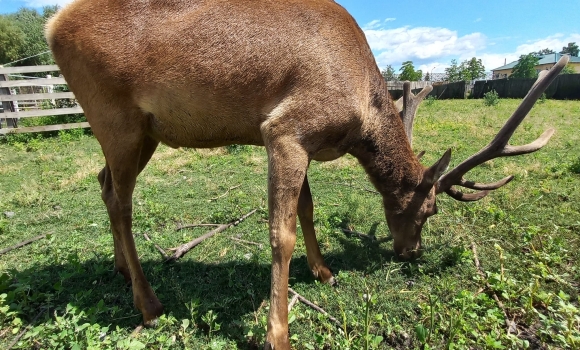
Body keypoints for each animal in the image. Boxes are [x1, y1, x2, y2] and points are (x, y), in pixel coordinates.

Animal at [46, 1, 572, 348]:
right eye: (430, 209)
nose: (411, 252)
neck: (359, 114)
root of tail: (53, 24)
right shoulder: (285, 129)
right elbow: (281, 234)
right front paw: (278, 332)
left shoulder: (306, 140)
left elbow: (308, 207)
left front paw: (324, 271)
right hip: (116, 119)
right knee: (121, 200)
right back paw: (148, 302)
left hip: (140, 132)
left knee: (104, 183)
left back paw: (120, 267)